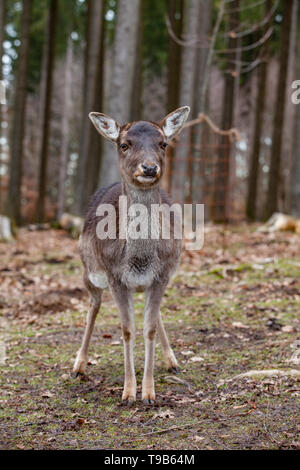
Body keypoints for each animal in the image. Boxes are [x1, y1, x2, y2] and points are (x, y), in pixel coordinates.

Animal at [72, 105, 190, 404]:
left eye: (163, 143)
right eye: (125, 144)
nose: (149, 168)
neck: (139, 260)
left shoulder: (161, 276)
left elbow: (148, 328)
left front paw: (148, 392)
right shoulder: (116, 278)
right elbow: (126, 331)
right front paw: (128, 392)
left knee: (154, 316)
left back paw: (172, 361)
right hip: (89, 272)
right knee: (93, 306)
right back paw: (78, 365)